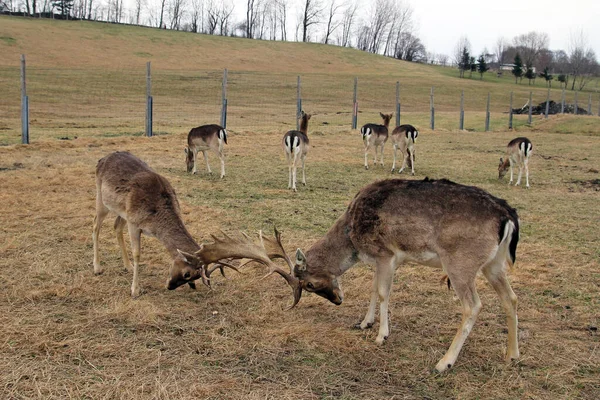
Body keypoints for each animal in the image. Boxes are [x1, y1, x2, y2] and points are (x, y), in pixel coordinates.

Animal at [91, 152, 237, 296]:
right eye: (187, 274)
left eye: (195, 277)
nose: (169, 286)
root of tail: (101, 159)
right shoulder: (133, 223)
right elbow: (137, 253)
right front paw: (135, 290)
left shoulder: (130, 216)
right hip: (101, 197)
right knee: (96, 225)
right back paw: (97, 268)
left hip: (122, 211)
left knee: (116, 226)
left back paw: (128, 266)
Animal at [185, 178, 524, 372]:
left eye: (309, 284)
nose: (337, 300)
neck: (351, 234)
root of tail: (508, 216)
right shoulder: (381, 261)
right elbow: (374, 289)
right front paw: (364, 323)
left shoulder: (386, 253)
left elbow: (384, 292)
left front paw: (381, 335)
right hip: (494, 264)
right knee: (511, 298)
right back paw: (512, 355)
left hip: (460, 262)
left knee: (473, 305)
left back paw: (444, 362)